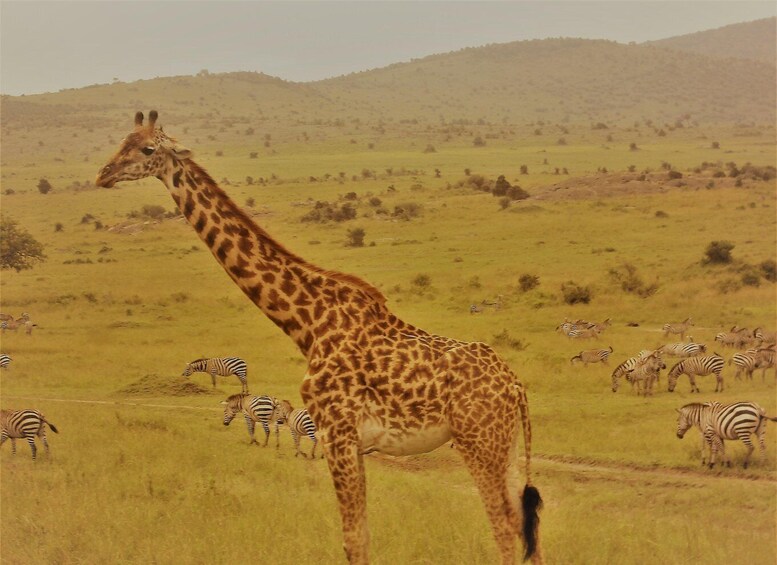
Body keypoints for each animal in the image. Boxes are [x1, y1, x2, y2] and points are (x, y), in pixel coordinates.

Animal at [96, 111, 543, 564]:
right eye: (122, 141)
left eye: (147, 149)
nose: (103, 174)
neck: (308, 324)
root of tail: (515, 387)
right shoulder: (350, 441)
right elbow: (360, 532)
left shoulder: (337, 432)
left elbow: (354, 537)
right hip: (504, 446)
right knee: (527, 534)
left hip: (479, 442)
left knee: (505, 529)